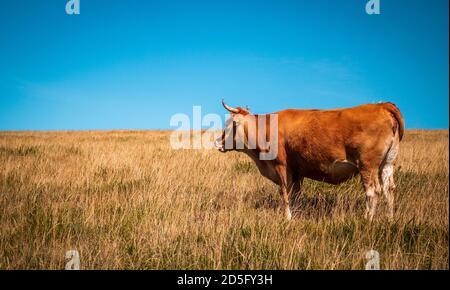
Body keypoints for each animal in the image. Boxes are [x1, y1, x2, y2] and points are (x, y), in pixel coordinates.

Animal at [214, 99, 404, 220]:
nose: (217, 142)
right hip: (387, 163)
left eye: (229, 124)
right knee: (389, 190)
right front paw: (296, 215)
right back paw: (389, 219)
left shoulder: (282, 166)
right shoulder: (297, 172)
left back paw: (367, 220)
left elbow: (285, 193)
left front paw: (288, 218)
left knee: (373, 192)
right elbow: (296, 196)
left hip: (367, 166)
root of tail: (382, 106)